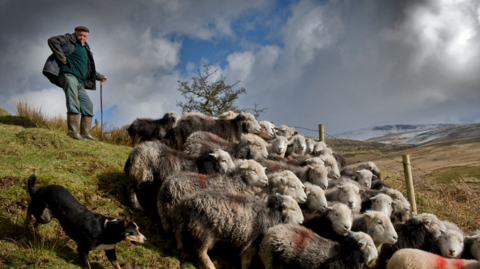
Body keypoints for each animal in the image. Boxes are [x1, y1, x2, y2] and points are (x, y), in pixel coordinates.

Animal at [173, 192, 304, 268]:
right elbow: (246, 261)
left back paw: (185, 255)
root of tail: (186, 203)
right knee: (200, 252)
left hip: (190, 229)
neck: (271, 214)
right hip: (204, 233)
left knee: (188, 244)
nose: (303, 221)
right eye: (293, 209)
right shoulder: (252, 243)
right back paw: (210, 266)